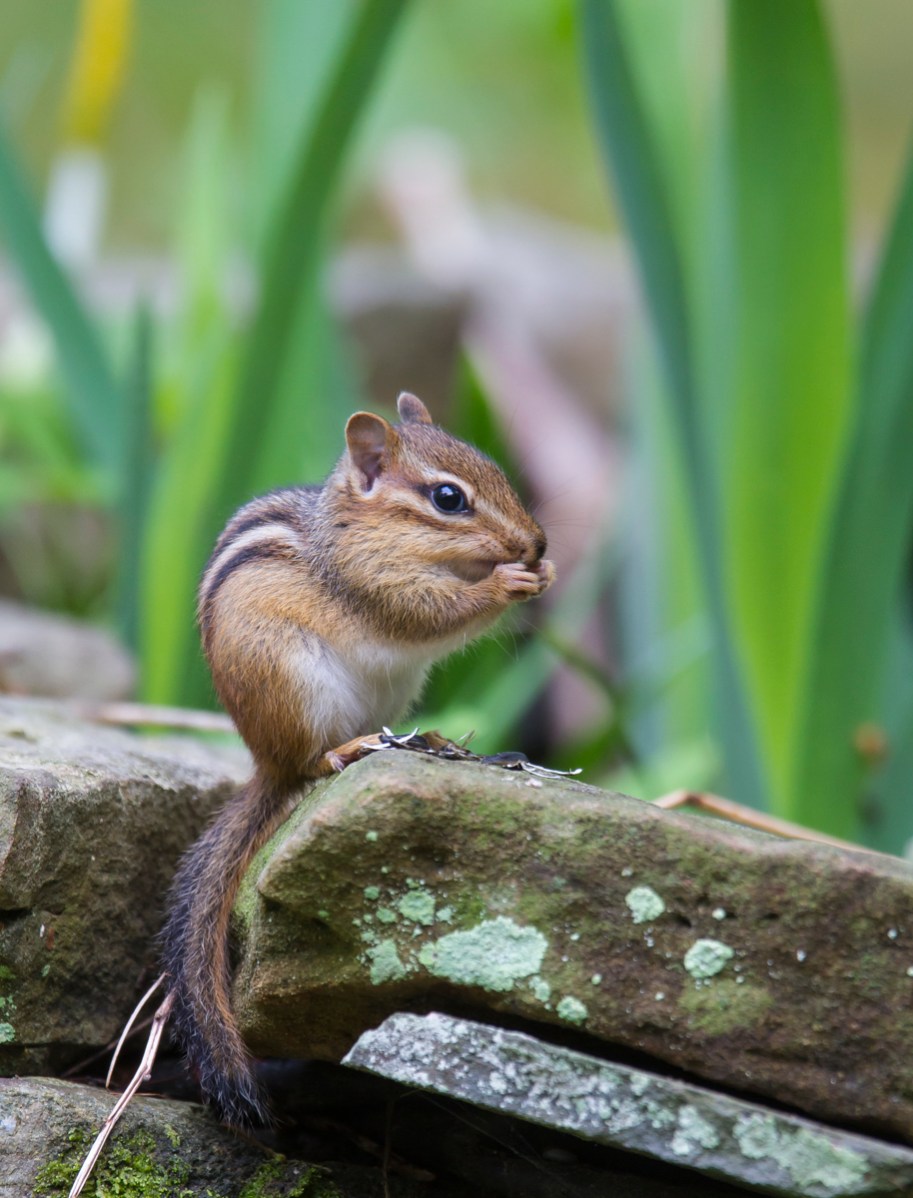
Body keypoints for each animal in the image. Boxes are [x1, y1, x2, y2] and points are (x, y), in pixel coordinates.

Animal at [159, 391, 555, 1127]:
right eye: (449, 498)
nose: (538, 544)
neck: (366, 526)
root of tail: (265, 760)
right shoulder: (378, 582)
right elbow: (431, 613)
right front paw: (507, 583)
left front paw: (539, 572)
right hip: (297, 686)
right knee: (312, 764)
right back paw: (350, 748)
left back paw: (432, 741)